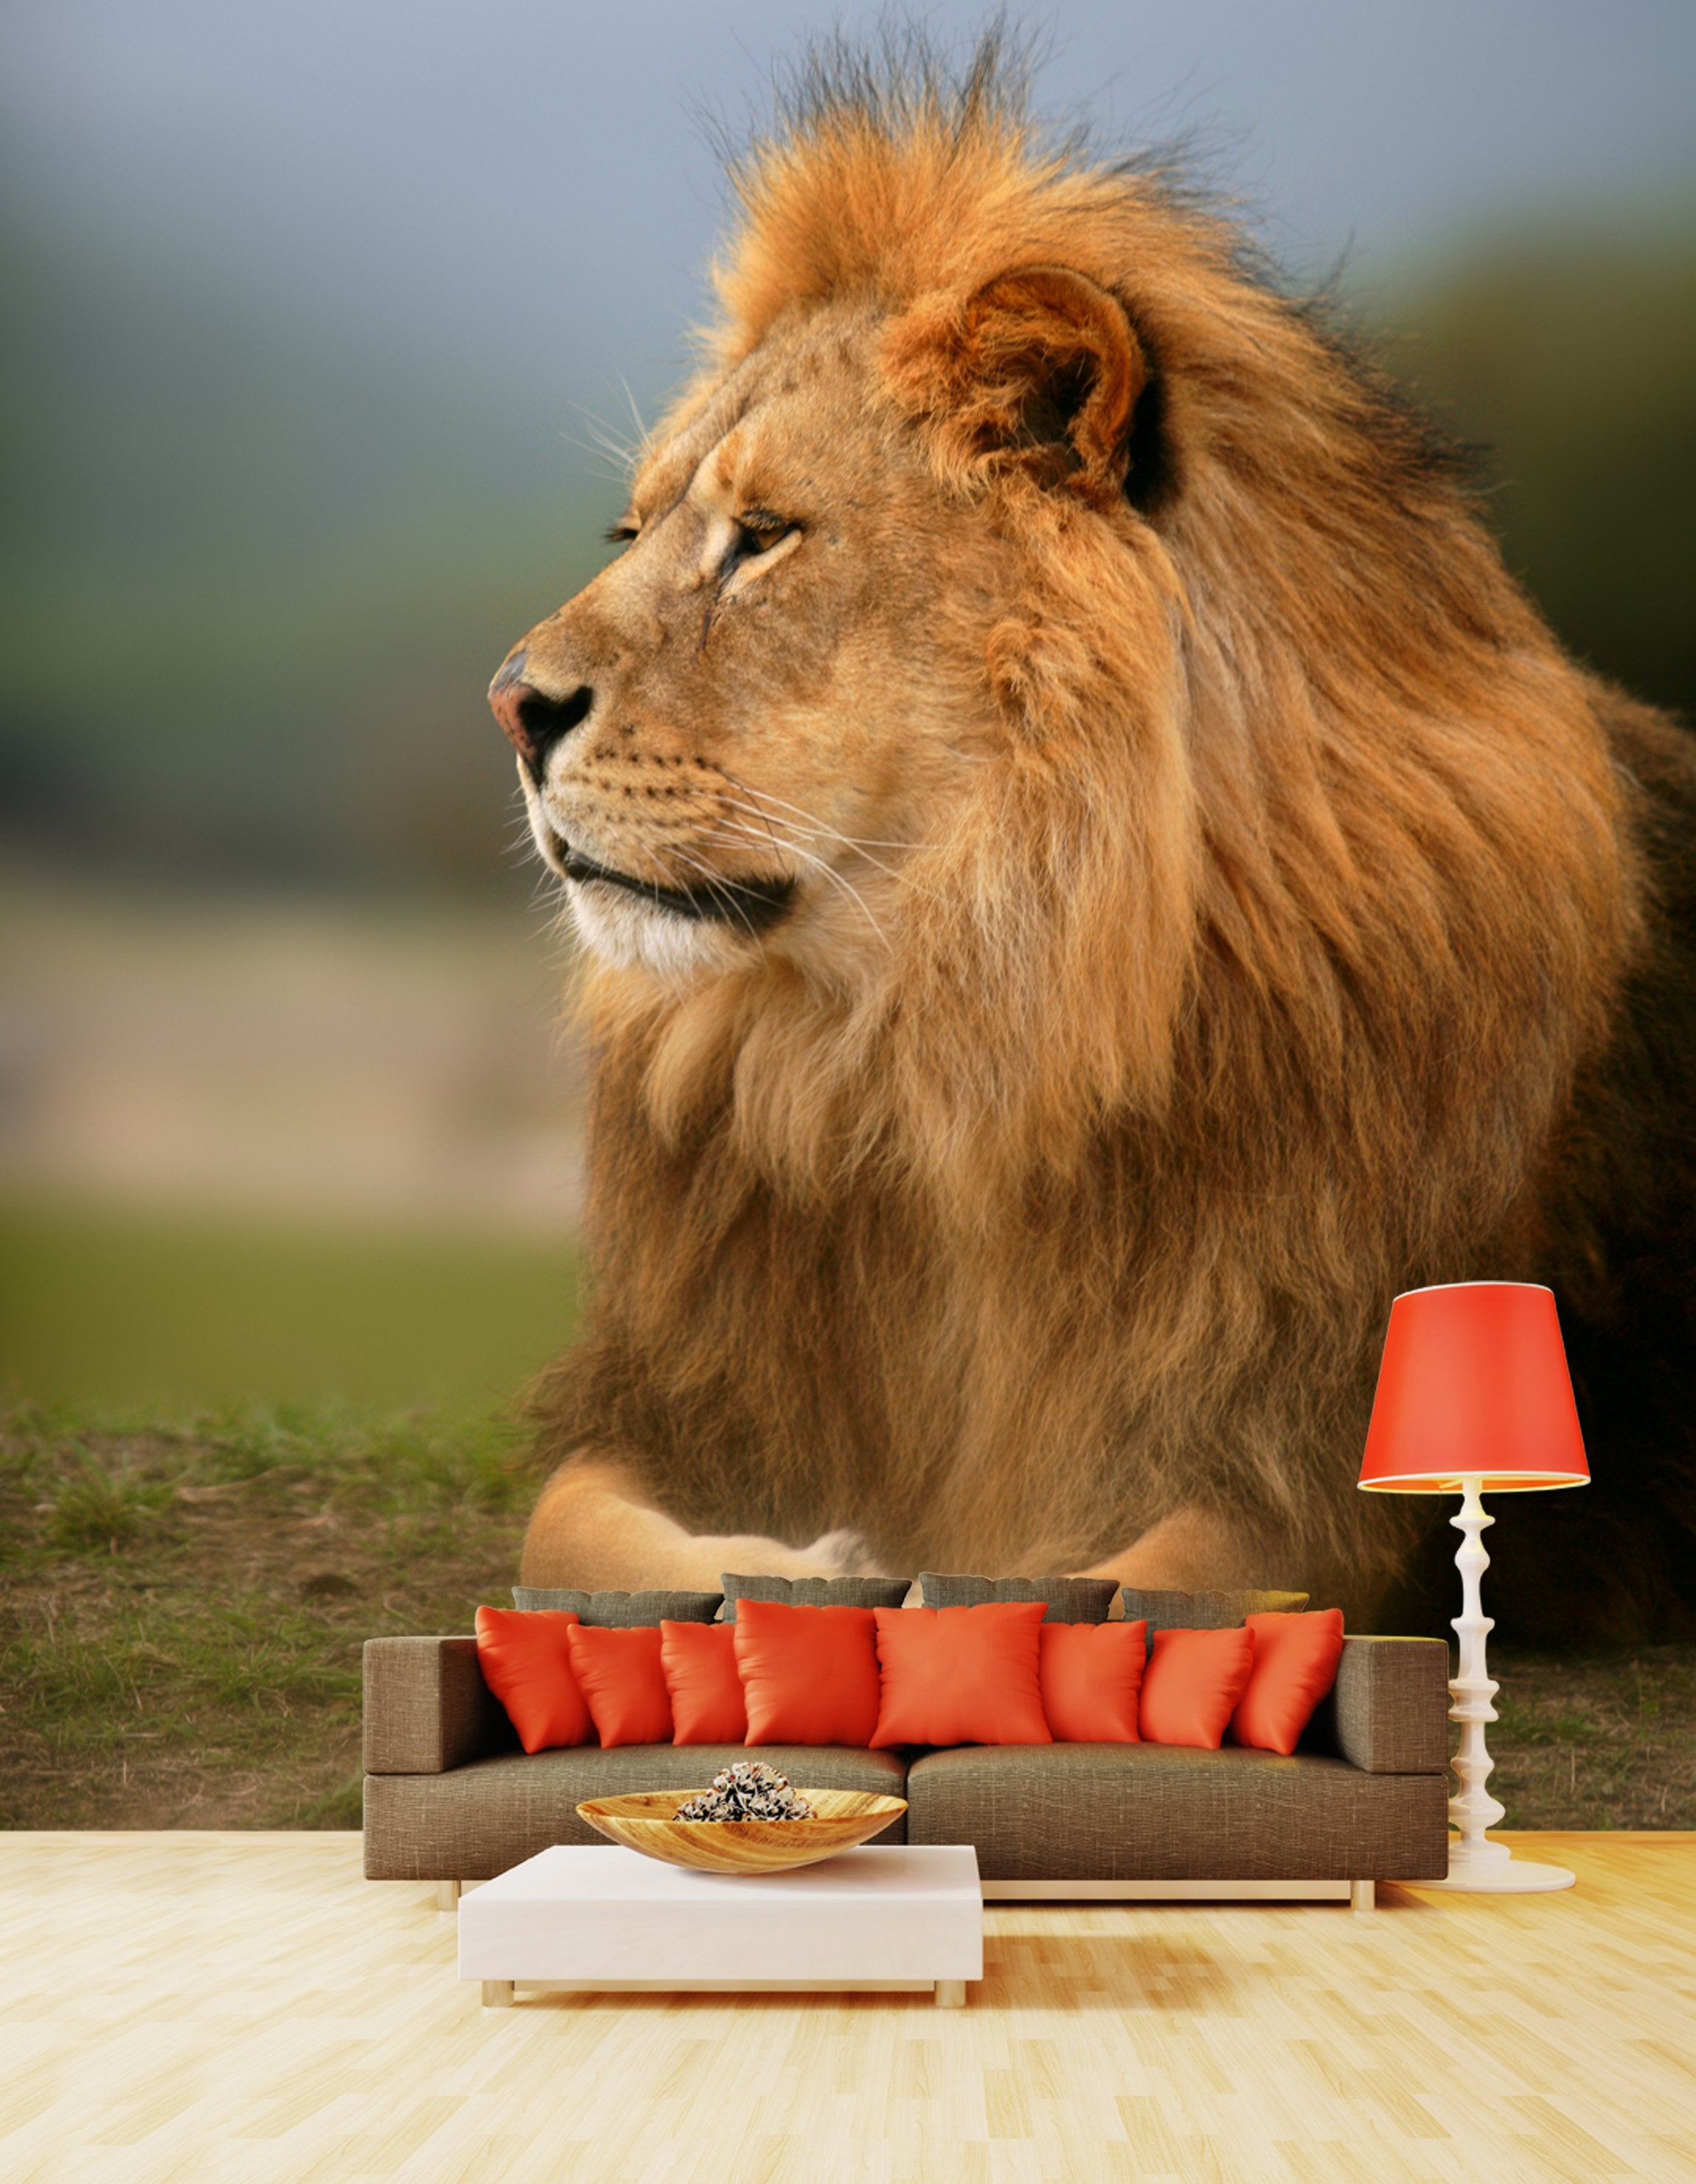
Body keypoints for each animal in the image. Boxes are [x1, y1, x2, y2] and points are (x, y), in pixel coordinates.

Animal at [487, 42, 1696, 1641]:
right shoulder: (683, 1406)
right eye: (630, 533)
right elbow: (571, 1530)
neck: (952, 1032)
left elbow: (1139, 1597)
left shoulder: (1299, 1455)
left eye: (764, 535)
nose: (510, 704)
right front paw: (806, 1573)